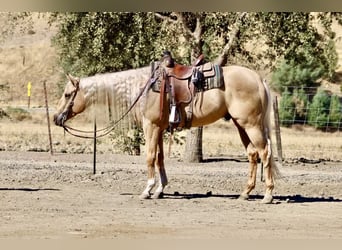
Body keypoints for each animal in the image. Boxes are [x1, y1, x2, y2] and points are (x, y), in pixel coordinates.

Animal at [53, 56, 280, 203]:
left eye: (67, 94)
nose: (56, 118)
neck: (143, 88)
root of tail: (259, 80)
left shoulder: (151, 127)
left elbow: (150, 157)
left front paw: (147, 190)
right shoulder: (160, 128)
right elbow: (160, 158)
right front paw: (159, 190)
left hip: (251, 125)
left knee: (265, 153)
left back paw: (268, 195)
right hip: (241, 125)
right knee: (252, 155)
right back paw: (245, 193)